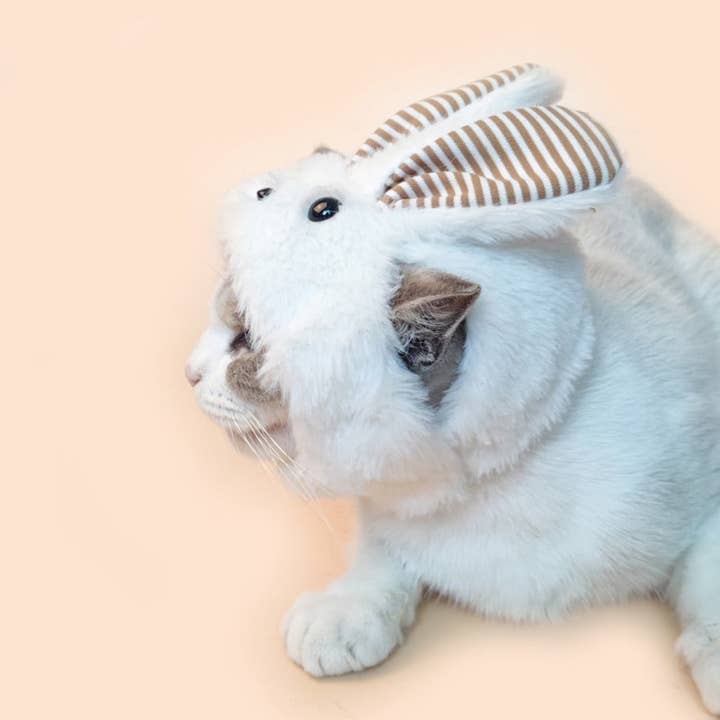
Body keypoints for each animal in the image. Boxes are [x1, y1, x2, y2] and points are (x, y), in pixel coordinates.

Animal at [187, 64, 720, 713]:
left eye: (243, 339)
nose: (189, 371)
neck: (486, 488)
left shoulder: (709, 495)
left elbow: (707, 580)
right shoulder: (389, 503)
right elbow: (379, 555)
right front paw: (346, 614)